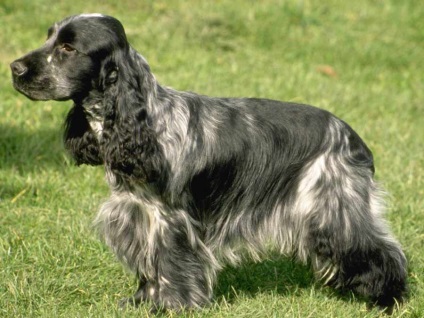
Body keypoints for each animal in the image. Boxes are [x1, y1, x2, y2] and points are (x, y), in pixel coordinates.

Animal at [11, 14, 406, 314]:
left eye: (68, 48)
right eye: (49, 38)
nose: (14, 67)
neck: (146, 120)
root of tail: (351, 136)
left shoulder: (170, 219)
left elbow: (171, 265)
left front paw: (172, 307)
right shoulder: (138, 214)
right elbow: (149, 265)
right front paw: (140, 302)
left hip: (332, 208)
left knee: (382, 250)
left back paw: (389, 300)